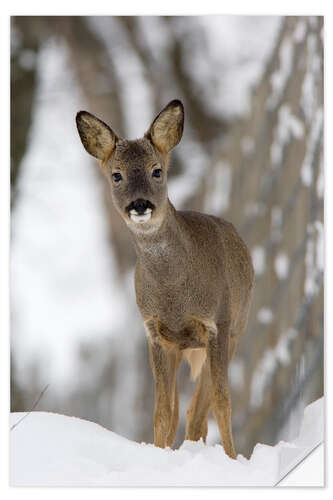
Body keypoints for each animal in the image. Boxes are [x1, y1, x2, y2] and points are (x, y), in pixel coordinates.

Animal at [76, 99, 252, 458]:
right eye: (116, 174)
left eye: (157, 170)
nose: (140, 204)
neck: (174, 295)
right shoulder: (155, 333)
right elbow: (162, 412)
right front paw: (158, 455)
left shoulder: (218, 323)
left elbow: (222, 403)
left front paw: (232, 458)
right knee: (183, 411)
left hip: (236, 330)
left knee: (200, 409)